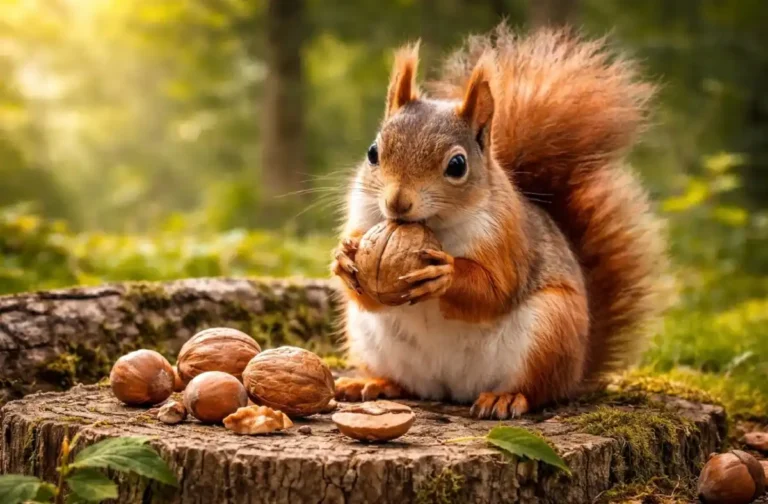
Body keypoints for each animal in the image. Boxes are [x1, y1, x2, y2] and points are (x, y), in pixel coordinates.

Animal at [331, 24, 666, 419]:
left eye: (457, 165)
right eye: (373, 153)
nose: (398, 202)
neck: (434, 226)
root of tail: (451, 390)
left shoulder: (506, 239)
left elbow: (495, 289)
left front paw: (445, 274)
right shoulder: (365, 217)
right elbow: (367, 294)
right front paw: (344, 258)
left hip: (550, 330)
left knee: (537, 390)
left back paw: (505, 398)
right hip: (368, 337)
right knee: (404, 382)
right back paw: (373, 383)